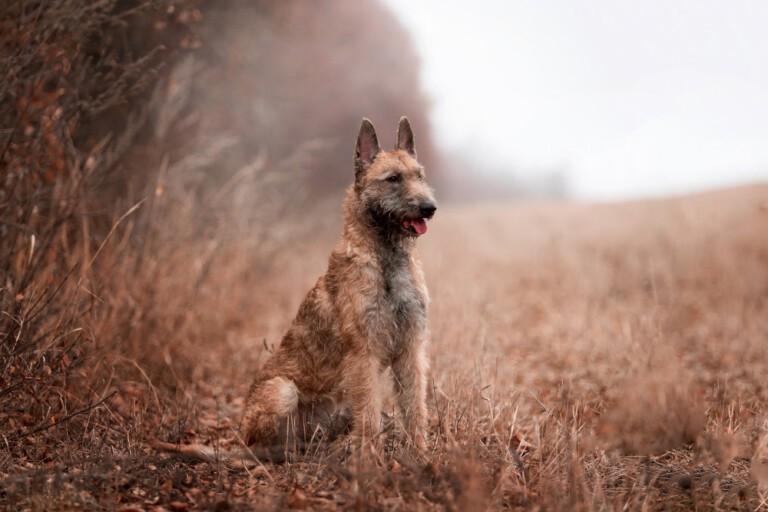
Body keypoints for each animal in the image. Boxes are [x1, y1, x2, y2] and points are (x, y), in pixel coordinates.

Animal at [153, 118, 436, 462]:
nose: (429, 207)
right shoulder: (364, 353)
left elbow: (415, 406)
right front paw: (370, 460)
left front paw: (419, 454)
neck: (387, 259)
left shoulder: (411, 348)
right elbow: (370, 415)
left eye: (419, 175)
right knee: (268, 446)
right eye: (393, 178)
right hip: (282, 391)